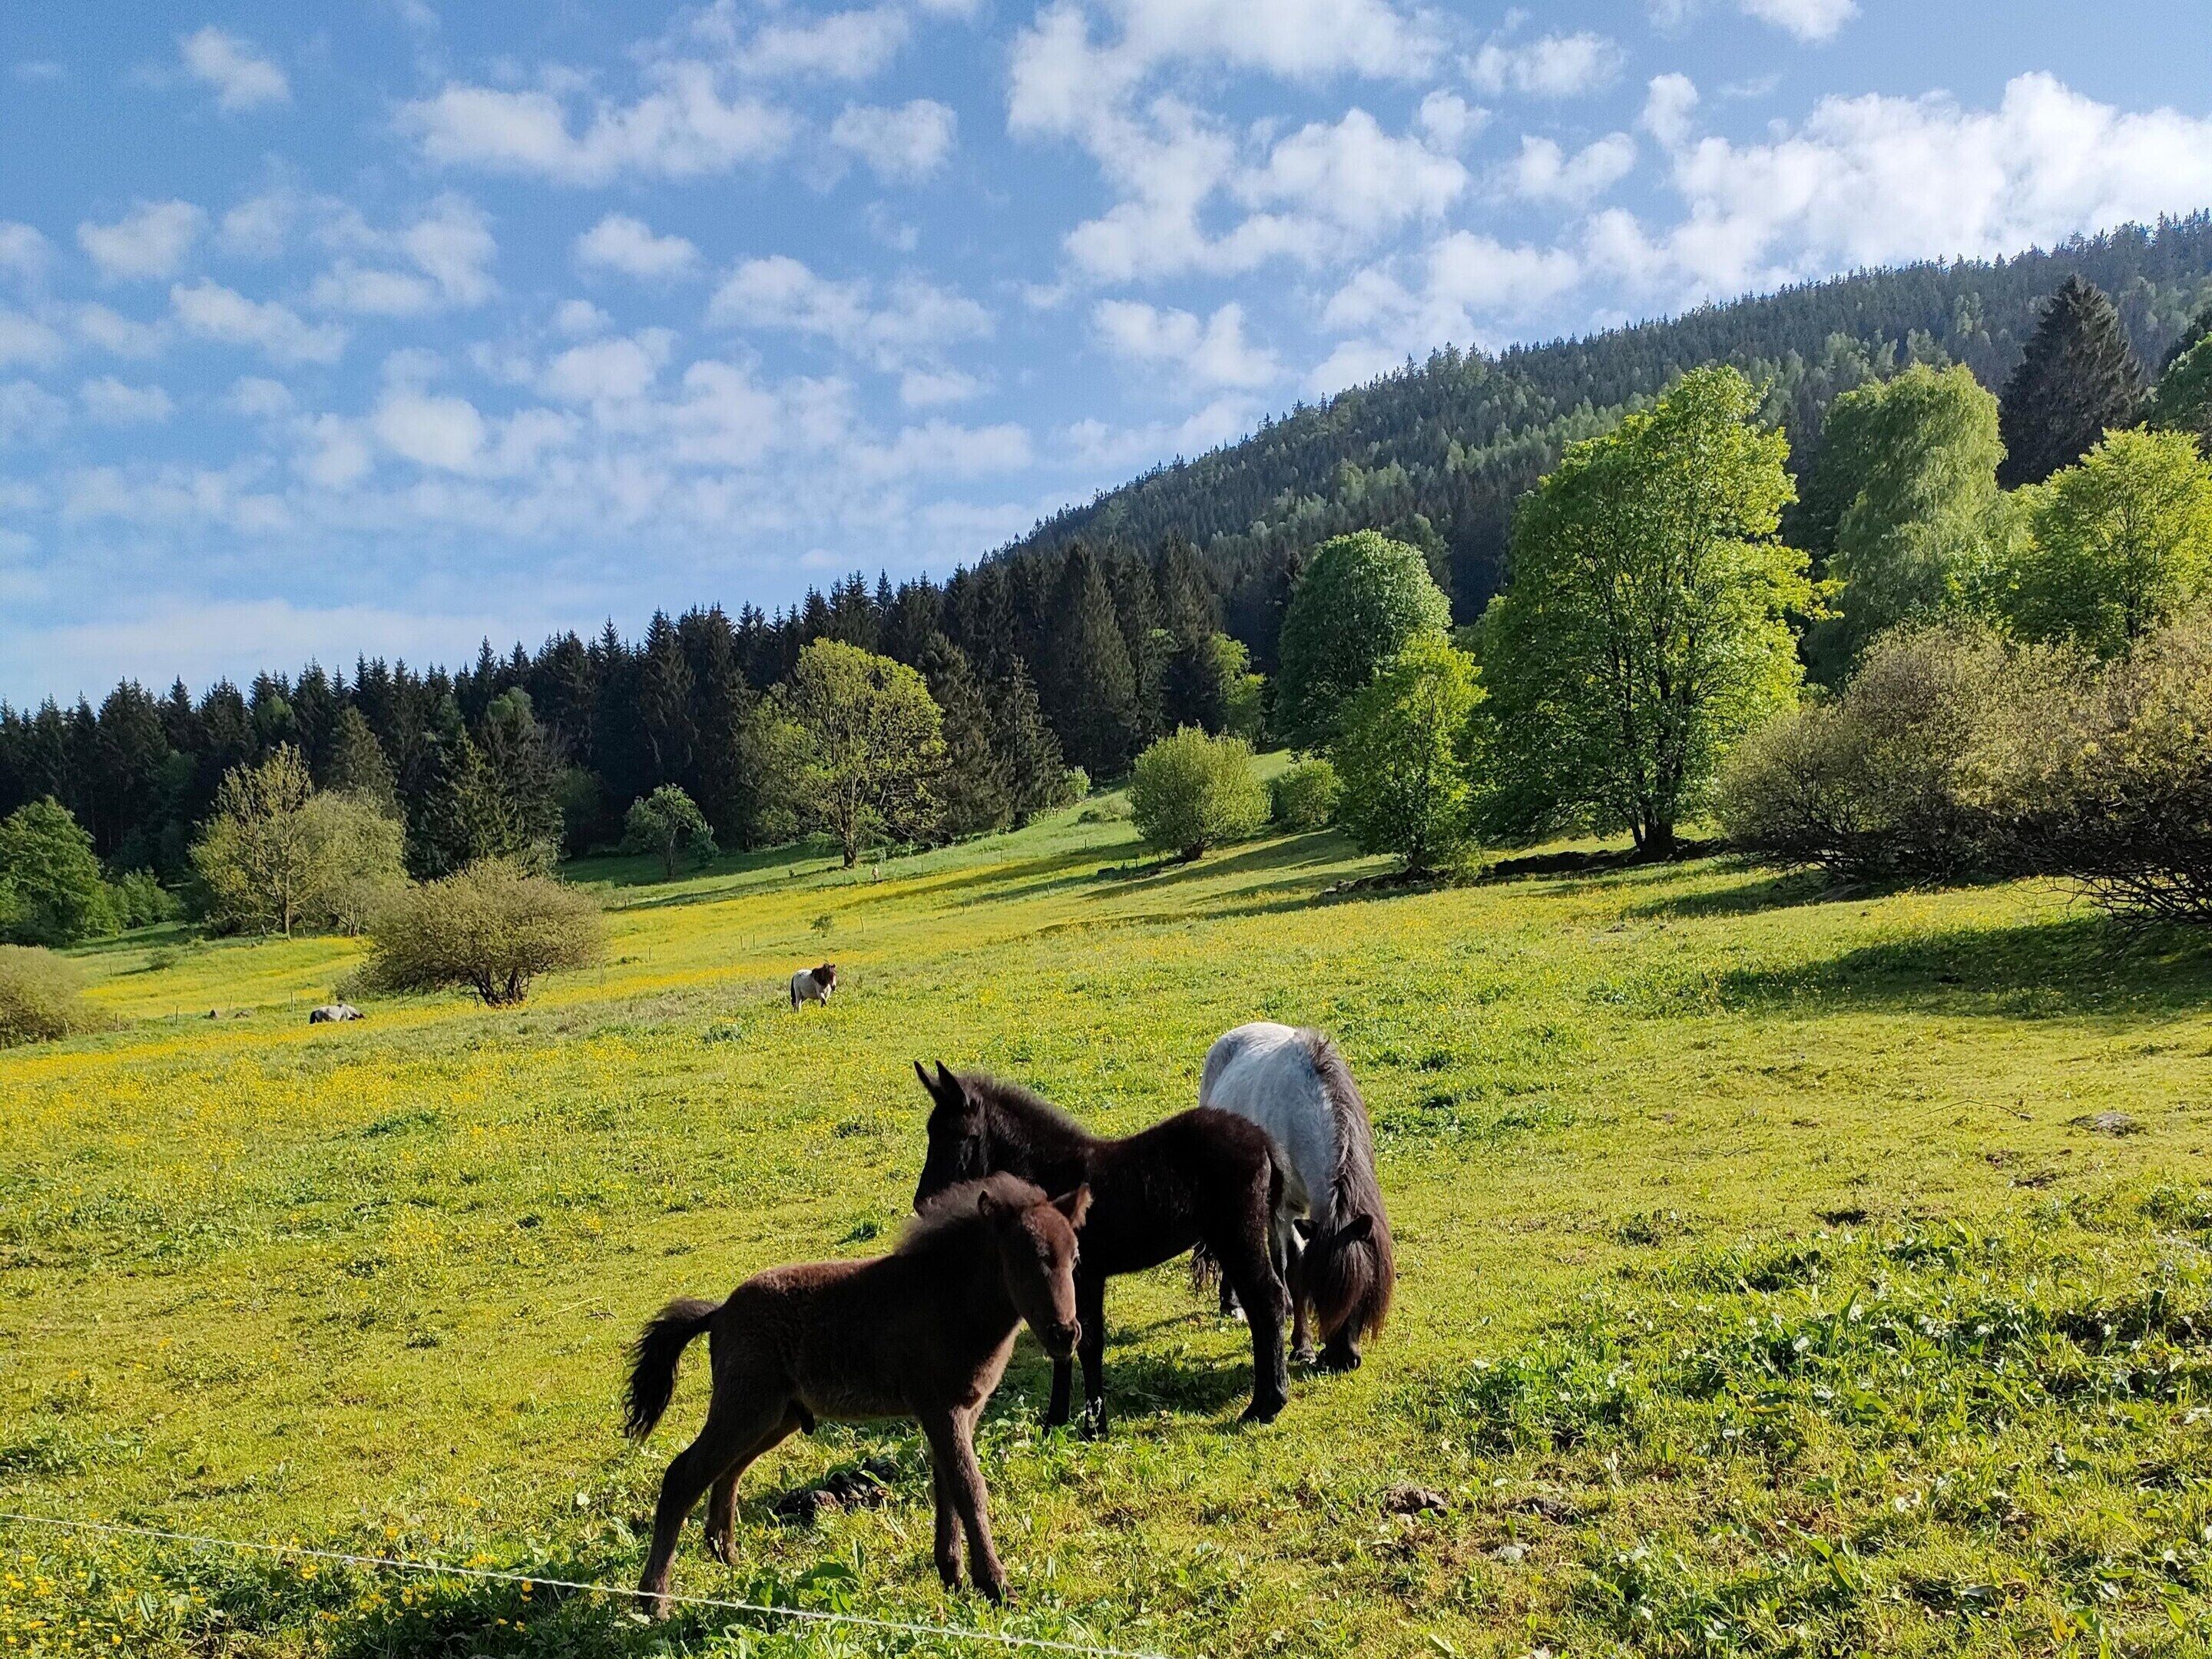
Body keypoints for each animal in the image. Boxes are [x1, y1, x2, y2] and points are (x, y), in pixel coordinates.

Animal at [624, 1173, 1089, 1612]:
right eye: (1021, 1259)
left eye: (1075, 1259)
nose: (1065, 1334)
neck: (950, 1301)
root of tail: (719, 1313)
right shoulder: (942, 1409)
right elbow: (970, 1489)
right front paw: (996, 1587)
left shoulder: (961, 1413)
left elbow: (947, 1487)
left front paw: (953, 1577)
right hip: (746, 1407)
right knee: (684, 1474)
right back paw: (654, 1599)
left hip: (776, 1417)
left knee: (728, 1470)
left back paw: (727, 1556)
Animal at [910, 1060, 1291, 1436]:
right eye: (930, 1133)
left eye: (963, 1136)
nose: (923, 1203)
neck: (1052, 1171)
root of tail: (1263, 1141)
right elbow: (1064, 1340)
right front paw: (1056, 1421)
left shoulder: (1086, 1274)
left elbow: (1089, 1341)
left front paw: (1093, 1426)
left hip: (1239, 1237)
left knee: (1269, 1300)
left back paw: (1266, 1405)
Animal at [1200, 1022, 1395, 1372]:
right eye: (1323, 1295)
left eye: (1362, 1292)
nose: (1342, 1360)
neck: (1308, 1108)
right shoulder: (1288, 1208)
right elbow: (1295, 1270)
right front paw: (1302, 1347)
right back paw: (1231, 1303)